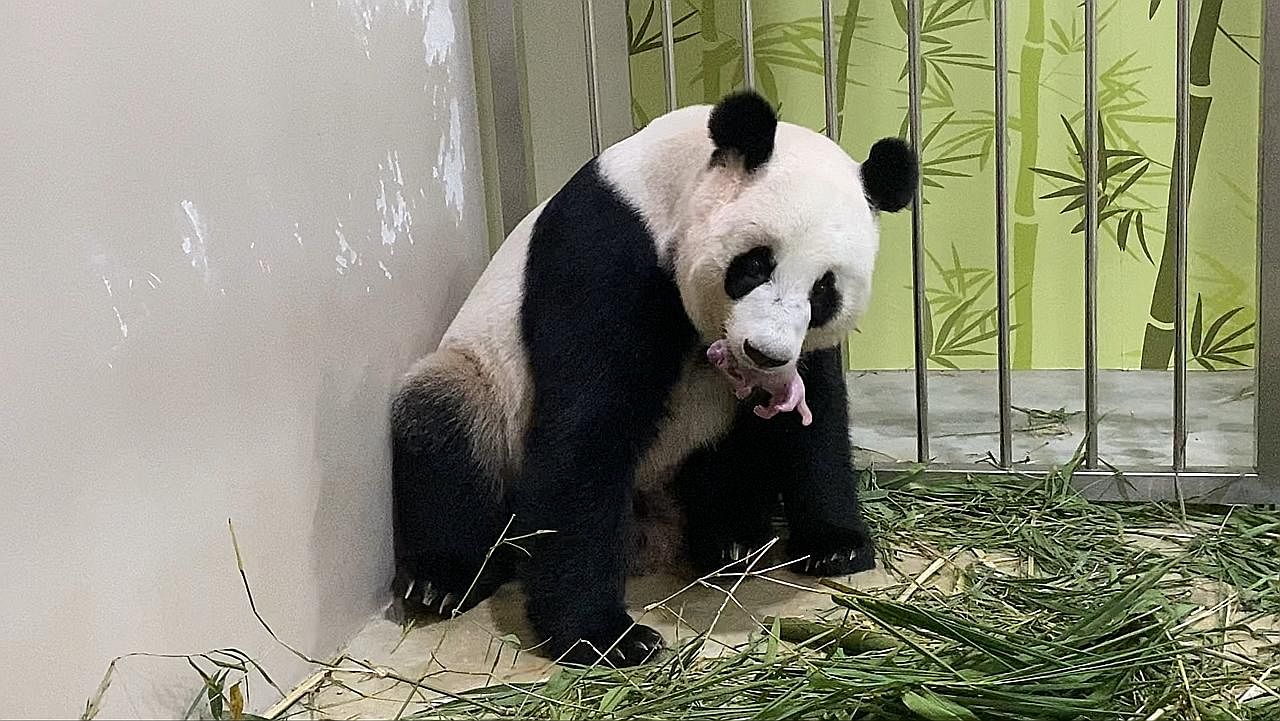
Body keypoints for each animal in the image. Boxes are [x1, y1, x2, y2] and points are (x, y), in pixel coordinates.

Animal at [391, 91, 921, 671]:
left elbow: (815, 416)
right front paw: (606, 636)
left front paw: (836, 544)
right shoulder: (607, 251)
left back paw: (731, 537)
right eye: (756, 265)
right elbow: (588, 426)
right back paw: (443, 580)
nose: (764, 353)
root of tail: (654, 529)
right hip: (483, 386)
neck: (669, 188)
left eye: (824, 290)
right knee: (445, 425)